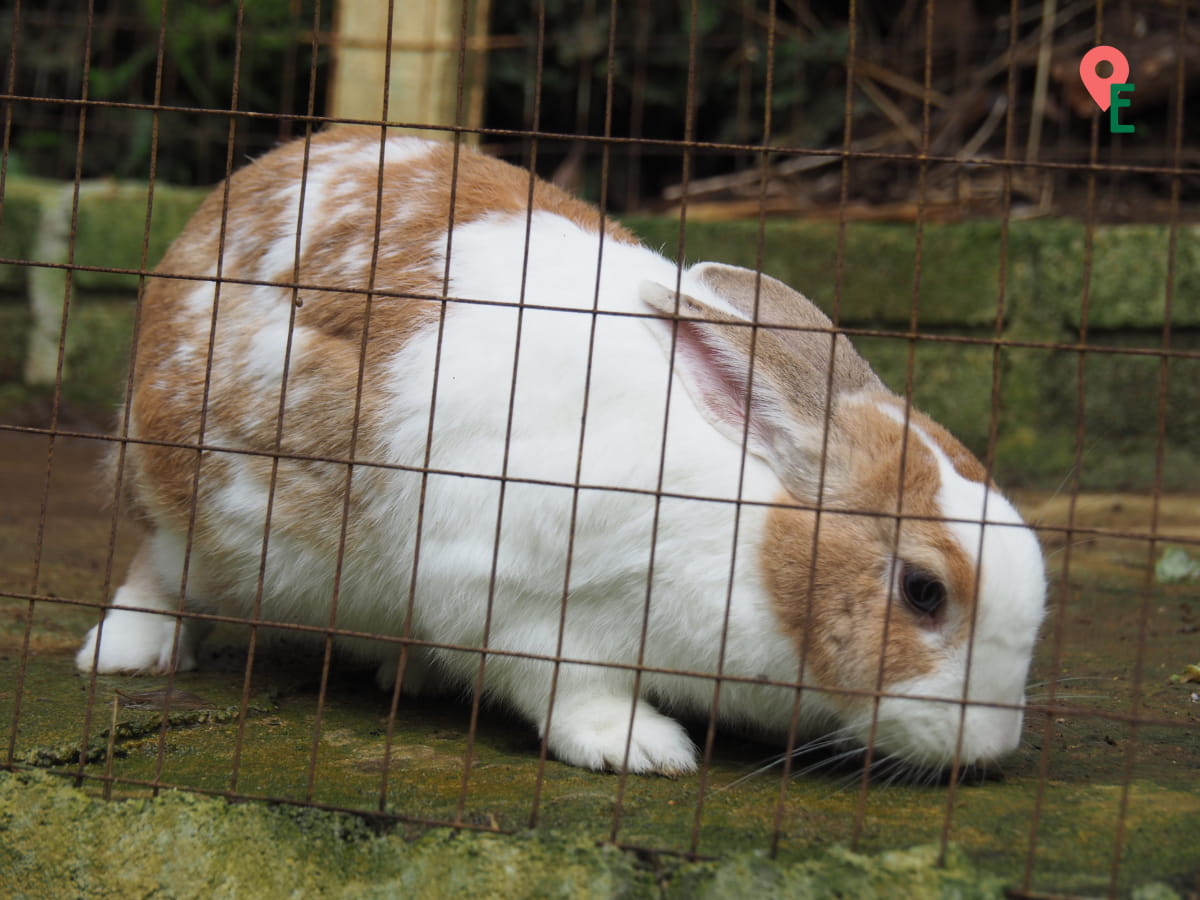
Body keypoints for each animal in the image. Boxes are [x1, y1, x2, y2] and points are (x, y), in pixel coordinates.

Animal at [79, 125, 1046, 777]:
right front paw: (644, 751)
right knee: (162, 569)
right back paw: (127, 654)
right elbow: (569, 689)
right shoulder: (518, 598)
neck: (747, 532)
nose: (993, 748)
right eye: (923, 591)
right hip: (202, 511)